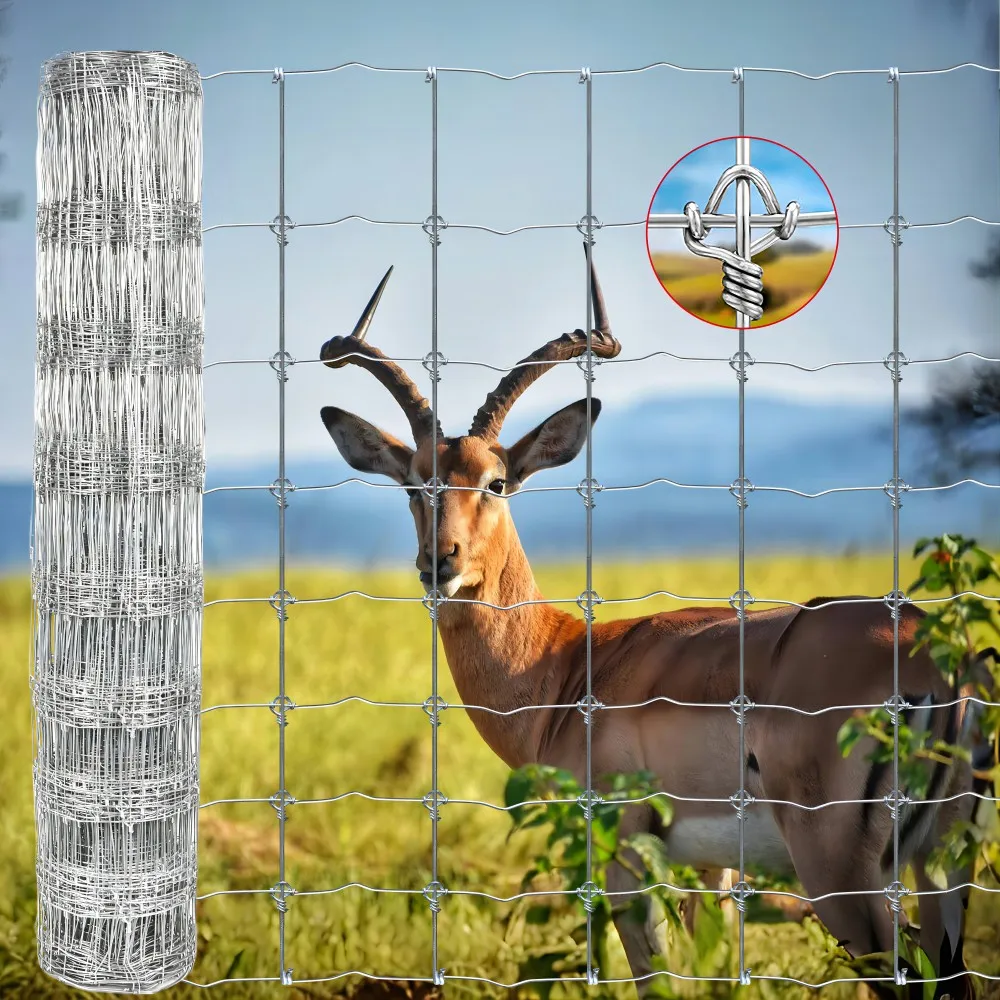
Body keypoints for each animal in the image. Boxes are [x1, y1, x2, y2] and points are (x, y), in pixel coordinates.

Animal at [317, 251, 990, 1000]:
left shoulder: (623, 856)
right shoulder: (712, 870)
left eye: (496, 481)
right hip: (941, 869)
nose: (442, 560)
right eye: (414, 482)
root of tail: (940, 666)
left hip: (842, 876)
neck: (566, 669)